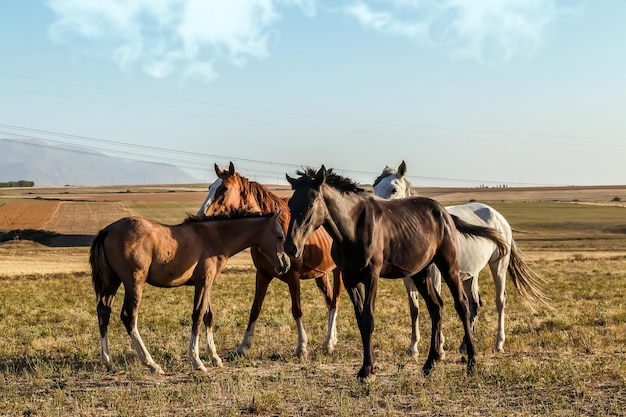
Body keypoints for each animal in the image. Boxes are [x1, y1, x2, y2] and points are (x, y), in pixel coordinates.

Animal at [90, 210, 290, 372]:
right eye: (280, 236)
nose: (285, 264)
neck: (215, 237)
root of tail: (106, 231)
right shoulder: (204, 282)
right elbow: (198, 315)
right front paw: (197, 361)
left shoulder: (205, 284)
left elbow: (208, 316)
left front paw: (215, 357)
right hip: (134, 283)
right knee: (129, 316)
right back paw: (151, 364)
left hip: (112, 282)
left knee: (103, 312)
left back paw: (108, 362)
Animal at [196, 162, 342, 358]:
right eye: (210, 187)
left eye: (224, 189)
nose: (200, 215)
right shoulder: (262, 274)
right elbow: (255, 309)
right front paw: (244, 346)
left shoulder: (293, 277)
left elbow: (297, 310)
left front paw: (301, 347)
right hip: (321, 274)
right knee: (329, 301)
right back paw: (332, 339)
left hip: (338, 272)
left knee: (335, 302)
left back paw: (328, 344)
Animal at [282, 166, 508, 376]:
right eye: (291, 204)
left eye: (311, 203)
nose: (291, 247)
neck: (353, 229)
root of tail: (443, 212)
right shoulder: (350, 278)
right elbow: (361, 320)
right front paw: (368, 367)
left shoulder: (371, 276)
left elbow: (369, 318)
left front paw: (367, 369)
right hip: (421, 273)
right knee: (436, 307)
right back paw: (429, 363)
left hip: (449, 266)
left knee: (463, 305)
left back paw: (471, 361)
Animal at [370, 159, 544, 354]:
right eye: (374, 188)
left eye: (393, 189)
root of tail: (498, 217)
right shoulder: (409, 279)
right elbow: (414, 308)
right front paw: (413, 346)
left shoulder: (434, 275)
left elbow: (435, 304)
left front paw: (439, 346)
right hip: (470, 274)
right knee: (474, 304)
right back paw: (465, 345)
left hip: (498, 265)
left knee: (500, 300)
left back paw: (498, 343)